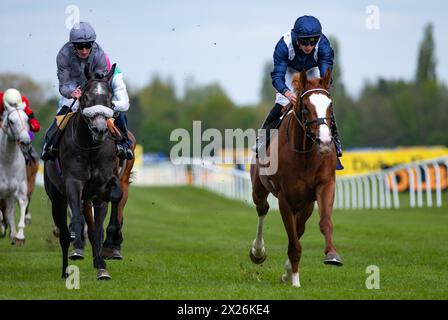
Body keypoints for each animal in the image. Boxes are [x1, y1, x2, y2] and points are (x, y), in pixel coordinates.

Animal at [44, 65, 122, 280]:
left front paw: (103, 263)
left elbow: (101, 223)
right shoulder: (73, 182)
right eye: (86, 96)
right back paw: (66, 268)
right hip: (57, 198)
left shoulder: (103, 186)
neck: (90, 148)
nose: (100, 129)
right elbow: (77, 216)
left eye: (110, 98)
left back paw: (99, 263)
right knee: (63, 233)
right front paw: (77, 244)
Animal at [250, 69, 342, 288]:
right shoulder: (285, 198)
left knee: (300, 226)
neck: (304, 152)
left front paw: (332, 255)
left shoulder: (324, 185)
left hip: (305, 203)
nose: (325, 141)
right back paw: (258, 252)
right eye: (306, 107)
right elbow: (293, 241)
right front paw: (295, 281)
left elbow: (324, 222)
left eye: (330, 105)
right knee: (262, 209)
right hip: (258, 189)